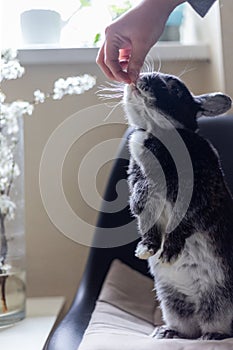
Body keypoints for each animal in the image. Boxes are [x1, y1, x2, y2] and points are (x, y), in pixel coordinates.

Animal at [124, 72, 233, 342]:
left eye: (174, 89)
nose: (139, 78)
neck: (157, 132)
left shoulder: (196, 198)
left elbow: (182, 225)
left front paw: (169, 253)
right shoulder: (144, 195)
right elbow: (146, 222)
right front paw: (146, 250)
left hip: (221, 303)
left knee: (216, 324)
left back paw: (212, 337)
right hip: (172, 301)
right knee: (186, 327)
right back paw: (167, 332)